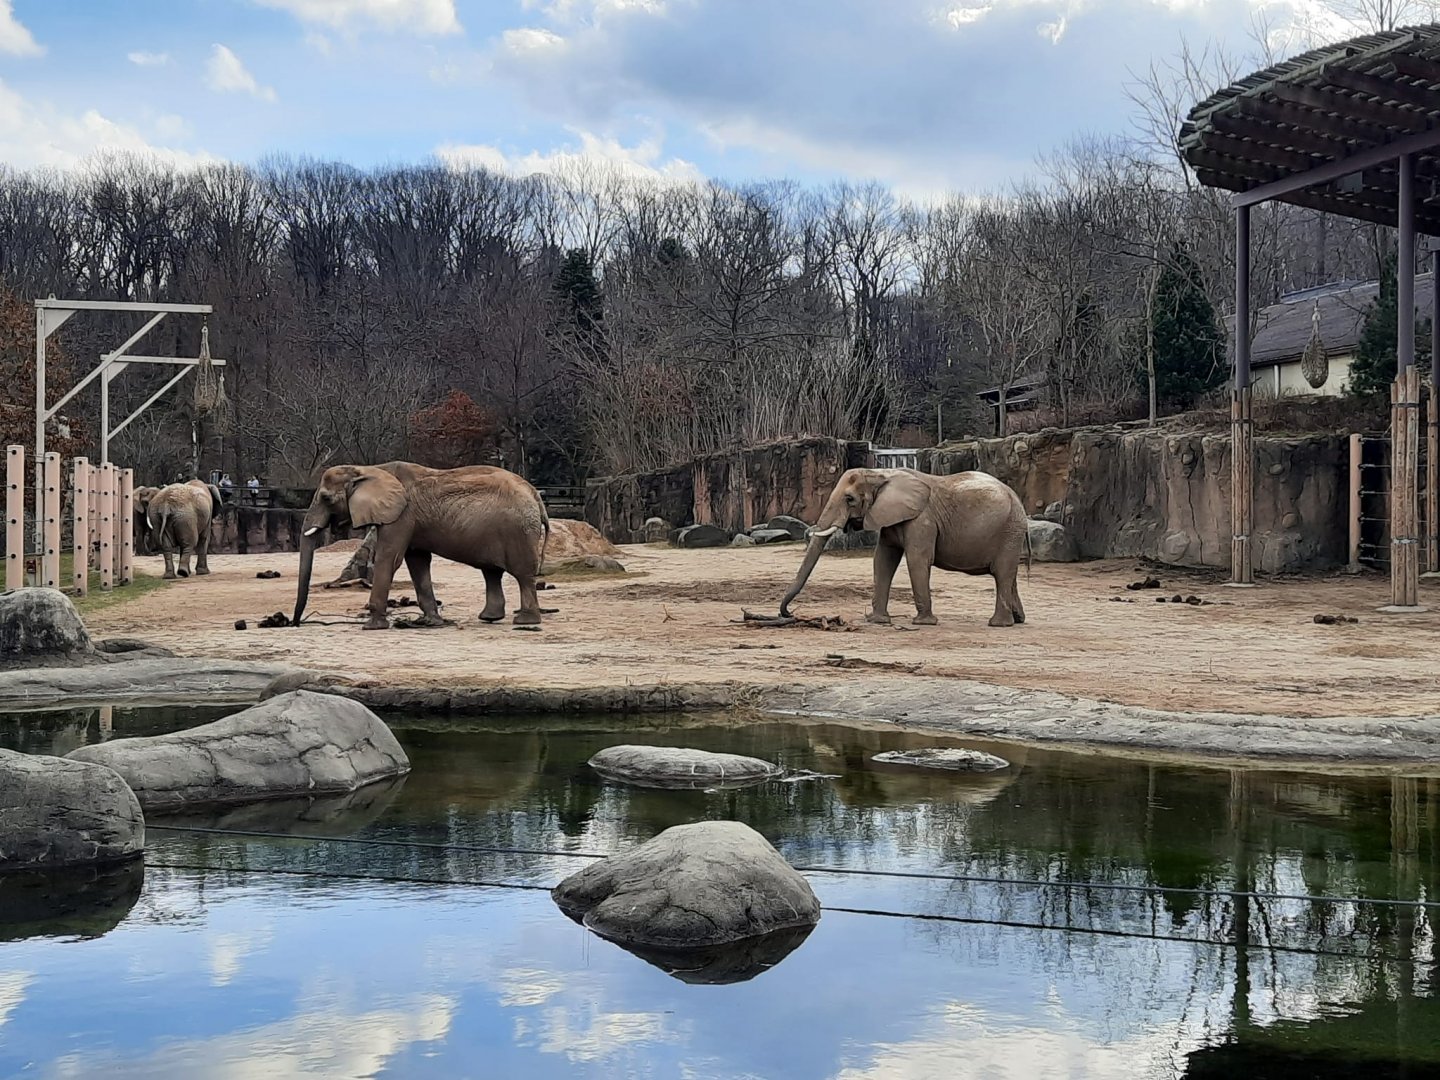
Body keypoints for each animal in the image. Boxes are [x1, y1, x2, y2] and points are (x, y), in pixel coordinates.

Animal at [292, 461, 549, 631]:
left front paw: (372, 626)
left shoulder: (401, 516)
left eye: (326, 498)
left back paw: (525, 621)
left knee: (522, 574)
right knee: (492, 572)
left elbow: (390, 558)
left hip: (518, 531)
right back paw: (489, 618)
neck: (370, 469)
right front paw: (429, 622)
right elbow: (417, 562)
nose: (294, 624)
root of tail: (536, 496)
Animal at [779, 468, 1028, 627]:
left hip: (1009, 530)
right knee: (1009, 575)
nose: (788, 613)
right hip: (1011, 532)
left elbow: (917, 560)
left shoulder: (922, 520)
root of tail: (1018, 500)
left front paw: (923, 623)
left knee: (1002, 573)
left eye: (849, 499)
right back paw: (1018, 620)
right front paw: (877, 621)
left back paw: (998, 624)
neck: (882, 474)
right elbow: (883, 559)